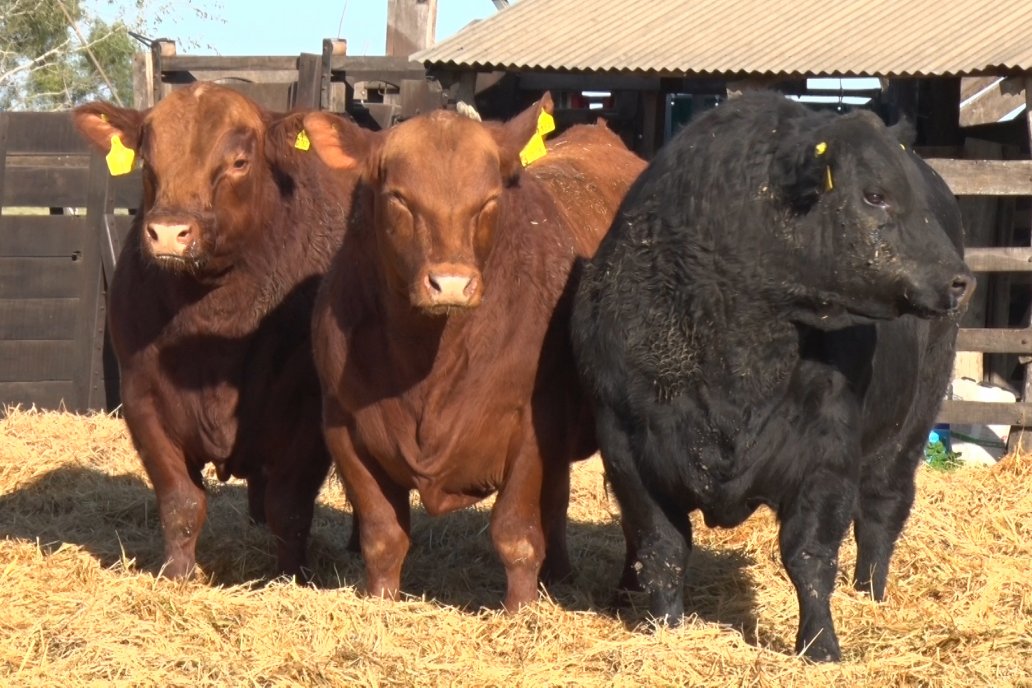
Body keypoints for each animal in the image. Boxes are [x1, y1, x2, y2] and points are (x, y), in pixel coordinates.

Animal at [72, 84, 355, 581]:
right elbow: (181, 502)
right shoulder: (142, 398)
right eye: (148, 160)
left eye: (239, 161)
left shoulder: (310, 410)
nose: (169, 232)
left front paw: (290, 577)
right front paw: (177, 575)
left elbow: (291, 508)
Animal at [301, 95, 643, 606]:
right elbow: (382, 536)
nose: (451, 283)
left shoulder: (533, 424)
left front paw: (520, 610)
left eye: (489, 201)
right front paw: (381, 600)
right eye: (399, 198)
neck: (428, 363)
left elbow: (515, 534)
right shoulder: (342, 425)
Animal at [573, 91, 974, 660]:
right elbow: (660, 547)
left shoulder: (827, 458)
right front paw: (664, 628)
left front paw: (821, 645)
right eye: (874, 194)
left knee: (882, 512)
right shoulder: (627, 447)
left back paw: (870, 595)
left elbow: (810, 556)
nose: (959, 279)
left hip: (908, 430)